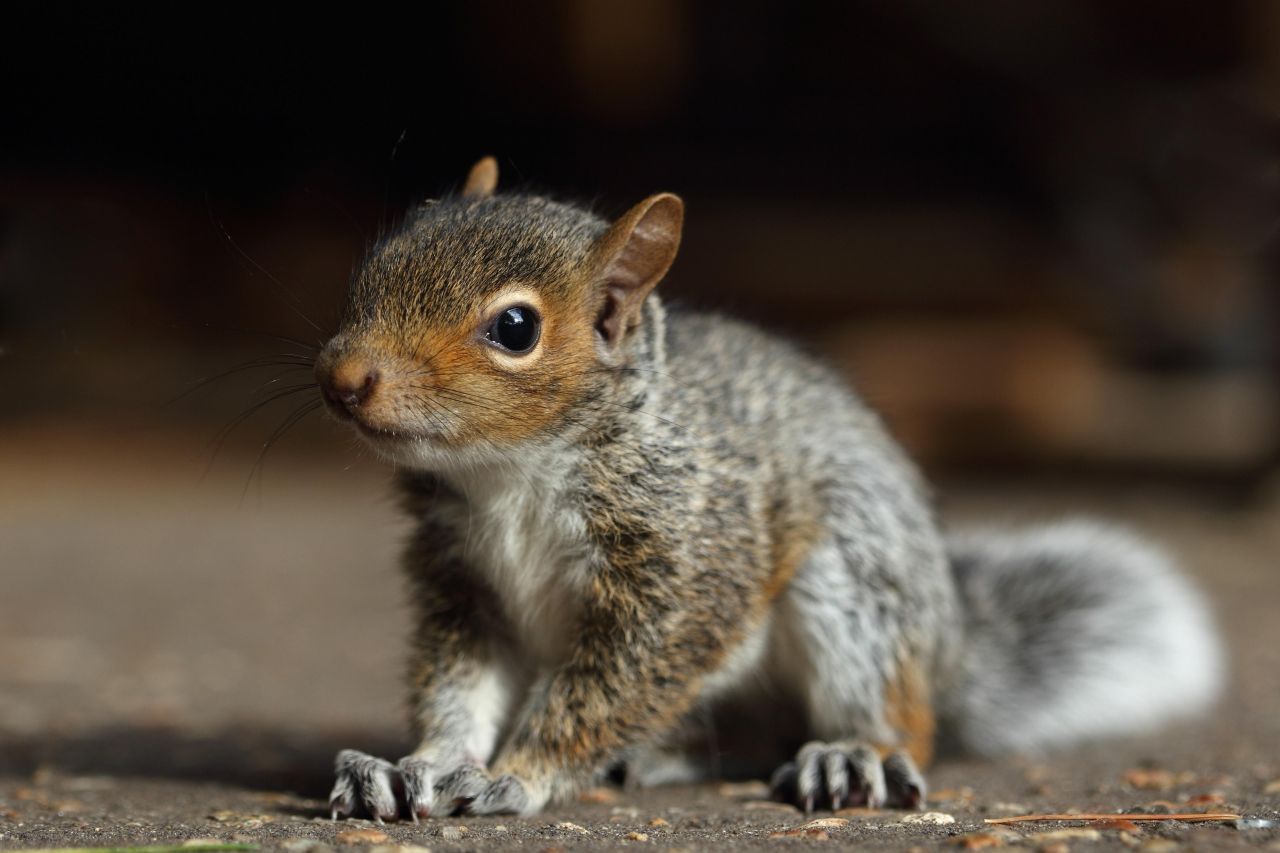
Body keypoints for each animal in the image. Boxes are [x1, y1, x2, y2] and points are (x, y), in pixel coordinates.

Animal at [314, 154, 1223, 819]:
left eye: (515, 327)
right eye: (375, 267)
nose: (344, 378)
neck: (509, 471)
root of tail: (950, 646)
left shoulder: (684, 569)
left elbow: (607, 687)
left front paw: (520, 772)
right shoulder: (462, 584)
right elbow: (458, 683)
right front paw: (421, 762)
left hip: (853, 583)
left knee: (893, 717)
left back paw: (851, 753)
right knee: (751, 731)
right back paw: (665, 755)